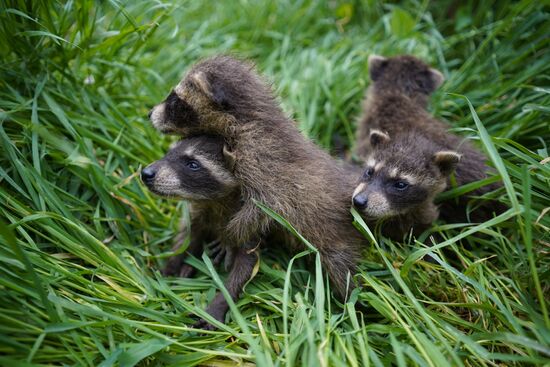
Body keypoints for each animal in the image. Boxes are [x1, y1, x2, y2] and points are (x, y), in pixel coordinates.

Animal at [139, 136, 260, 330]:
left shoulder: (249, 221)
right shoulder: (197, 212)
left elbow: (247, 265)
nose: (146, 173)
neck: (215, 200)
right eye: (168, 153)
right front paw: (171, 266)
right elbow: (186, 237)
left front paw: (220, 302)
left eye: (193, 164)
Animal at [149, 55, 368, 302]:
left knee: (343, 272)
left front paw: (229, 237)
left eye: (175, 101)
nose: (149, 114)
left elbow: (264, 208)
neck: (247, 120)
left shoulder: (258, 158)